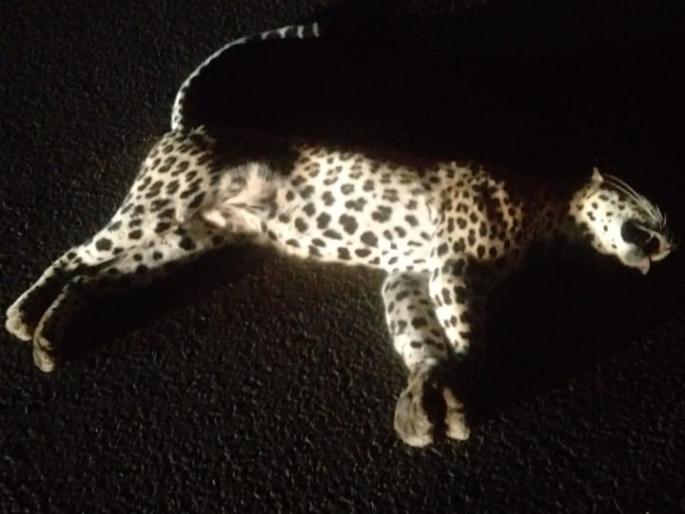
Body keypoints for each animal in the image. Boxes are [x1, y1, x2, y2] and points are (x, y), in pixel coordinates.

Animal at [4, 21, 675, 447]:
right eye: (647, 204)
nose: (670, 245)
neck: (548, 210)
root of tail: (189, 124)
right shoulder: (452, 265)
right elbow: (470, 337)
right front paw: (458, 395)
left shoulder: (410, 274)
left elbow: (419, 339)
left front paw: (421, 399)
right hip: (155, 208)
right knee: (74, 255)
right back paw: (21, 316)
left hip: (178, 243)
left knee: (96, 278)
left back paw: (50, 337)